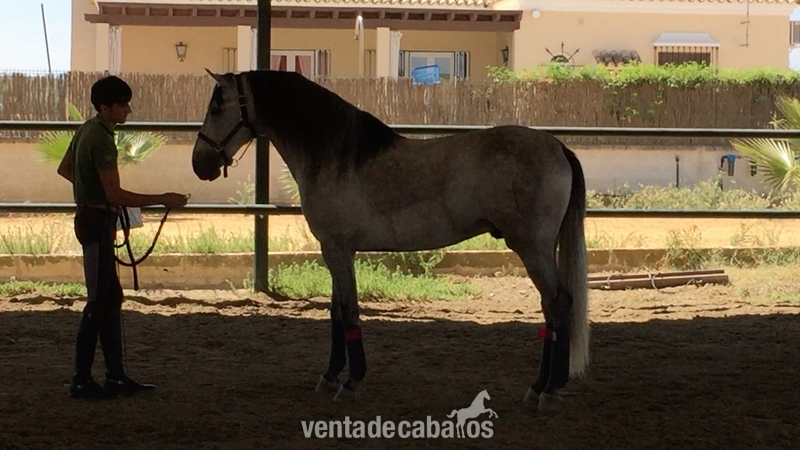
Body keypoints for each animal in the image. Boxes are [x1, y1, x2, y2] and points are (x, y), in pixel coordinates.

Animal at [190, 69, 590, 413]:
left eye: (217, 107)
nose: (200, 164)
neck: (336, 156)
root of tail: (558, 147)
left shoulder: (337, 250)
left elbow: (350, 312)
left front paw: (351, 383)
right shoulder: (335, 252)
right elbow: (336, 312)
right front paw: (329, 376)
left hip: (533, 248)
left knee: (559, 304)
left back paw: (549, 390)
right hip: (540, 249)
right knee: (550, 308)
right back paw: (537, 387)